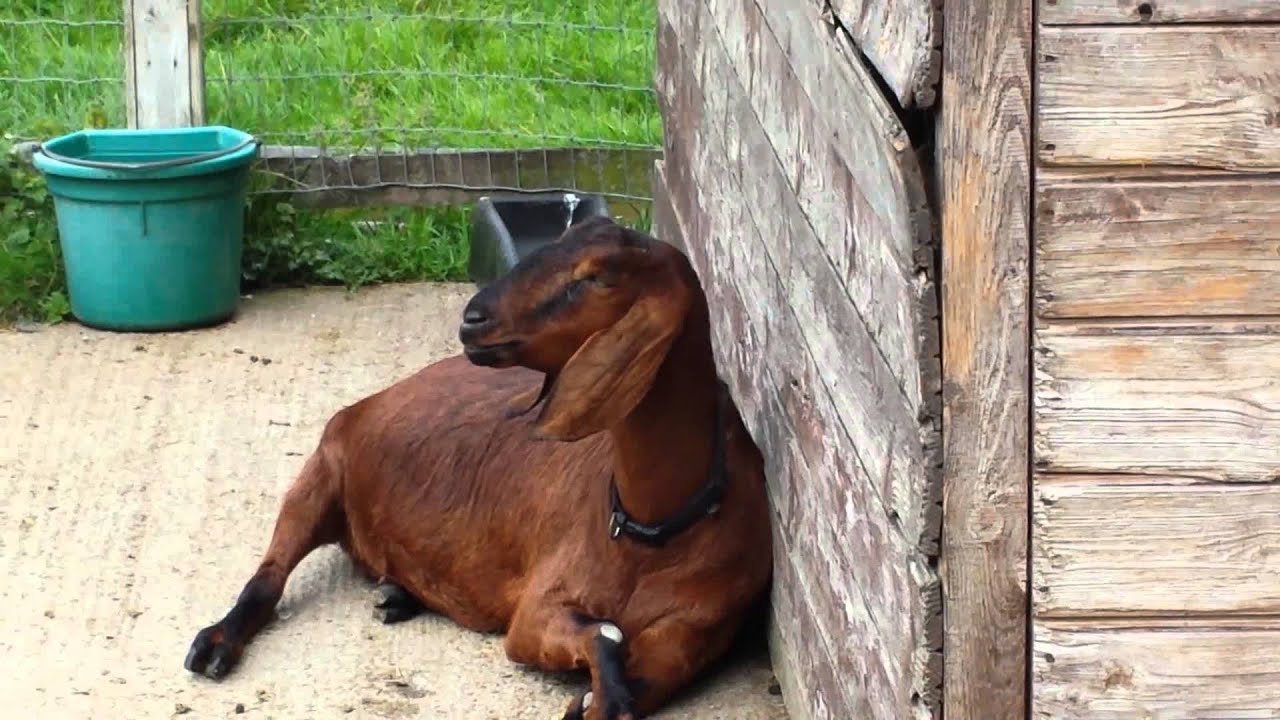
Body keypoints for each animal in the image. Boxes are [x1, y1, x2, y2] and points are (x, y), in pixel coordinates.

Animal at [183, 216, 774, 719]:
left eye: (597, 278)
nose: (473, 319)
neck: (651, 531)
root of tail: (382, 395)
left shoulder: (692, 636)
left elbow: (626, 672)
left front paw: (602, 700)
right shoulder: (536, 611)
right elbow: (601, 633)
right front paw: (604, 693)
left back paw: (396, 593)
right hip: (320, 471)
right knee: (269, 574)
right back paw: (214, 645)